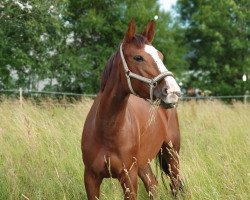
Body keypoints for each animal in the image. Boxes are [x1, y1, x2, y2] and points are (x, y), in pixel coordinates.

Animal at [82, 19, 184, 198]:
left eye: (161, 56)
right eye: (138, 57)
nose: (173, 92)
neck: (106, 129)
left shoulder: (128, 176)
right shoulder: (90, 178)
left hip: (171, 154)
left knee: (174, 185)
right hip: (144, 162)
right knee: (152, 184)